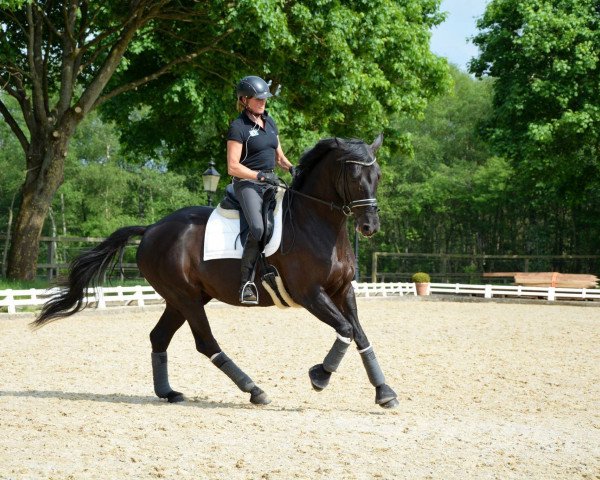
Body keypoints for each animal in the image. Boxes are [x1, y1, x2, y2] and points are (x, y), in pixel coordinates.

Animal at [32, 134, 398, 408]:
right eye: (354, 177)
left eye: (378, 176)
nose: (369, 227)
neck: (316, 222)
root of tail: (152, 228)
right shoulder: (310, 294)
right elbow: (345, 330)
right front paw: (320, 376)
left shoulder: (342, 290)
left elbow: (360, 334)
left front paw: (384, 392)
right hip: (187, 298)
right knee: (206, 343)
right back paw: (254, 390)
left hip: (181, 299)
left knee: (159, 336)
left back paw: (168, 392)